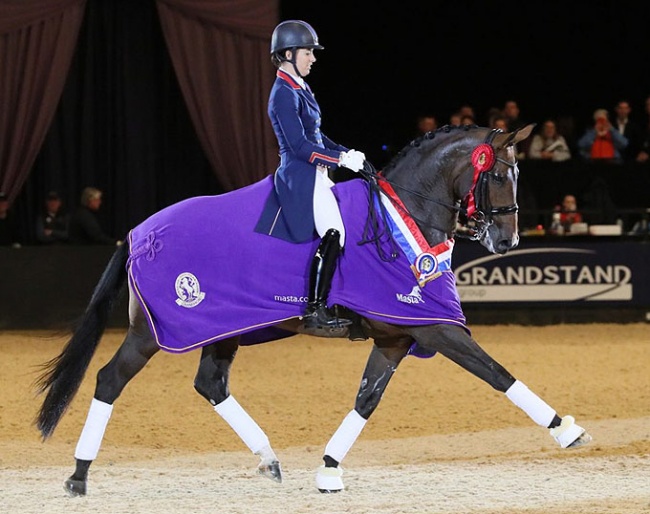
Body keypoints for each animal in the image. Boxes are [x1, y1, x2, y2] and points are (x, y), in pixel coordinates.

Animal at [36, 122, 592, 494]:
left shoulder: (397, 336)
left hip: (221, 329)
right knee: (109, 379)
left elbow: (367, 399)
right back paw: (79, 476)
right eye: (498, 175)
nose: (506, 241)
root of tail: (138, 232)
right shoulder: (433, 326)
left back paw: (268, 460)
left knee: (211, 384)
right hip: (154, 332)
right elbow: (497, 373)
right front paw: (567, 430)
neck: (404, 216)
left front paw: (328, 468)